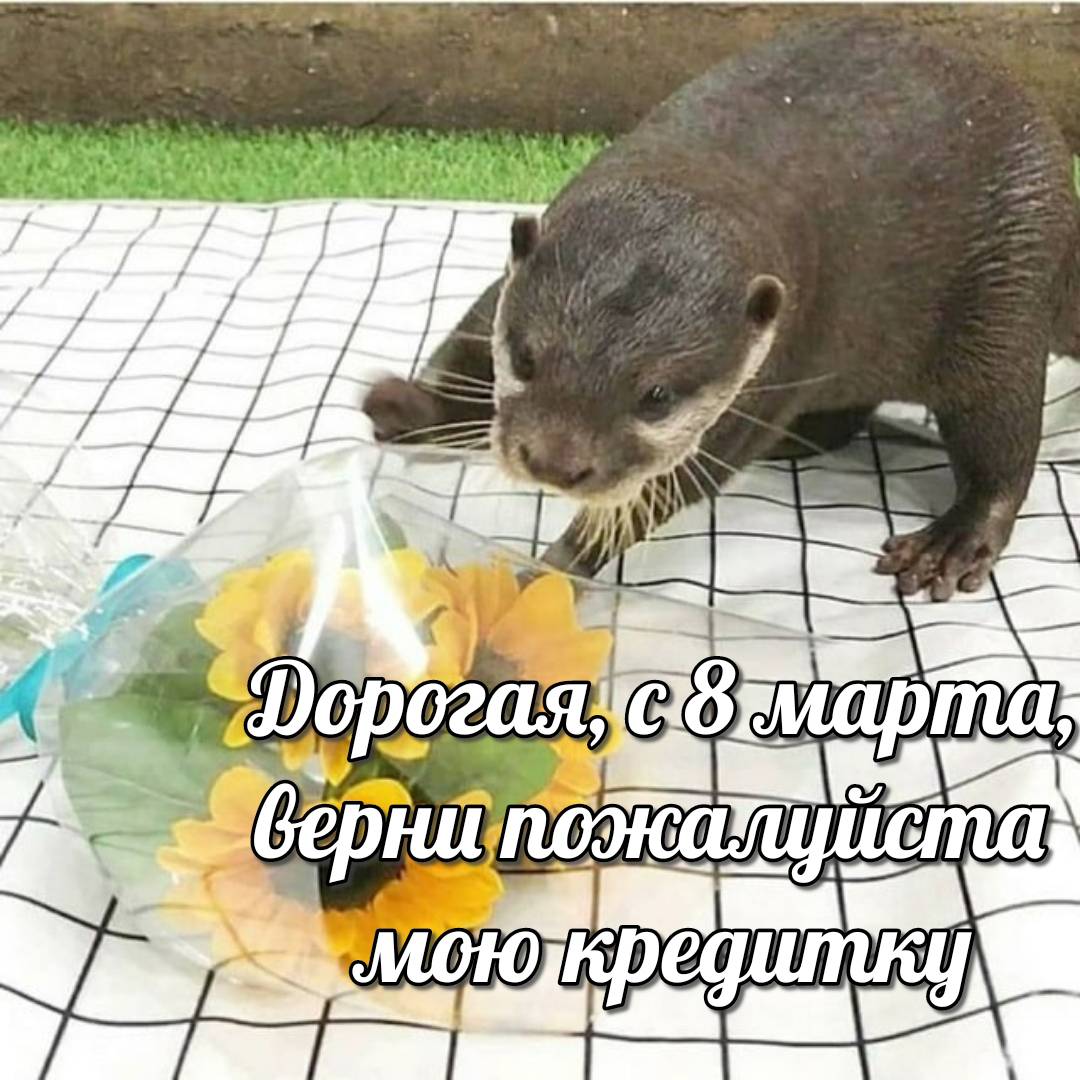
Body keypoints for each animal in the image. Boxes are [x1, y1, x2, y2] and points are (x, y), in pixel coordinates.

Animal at [363, 18, 1080, 601]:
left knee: (1002, 439)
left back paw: (953, 540)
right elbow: (465, 342)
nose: (554, 464)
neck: (718, 166)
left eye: (656, 396)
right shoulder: (510, 283)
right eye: (527, 357)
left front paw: (545, 576)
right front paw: (406, 408)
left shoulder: (763, 376)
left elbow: (656, 494)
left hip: (1006, 298)